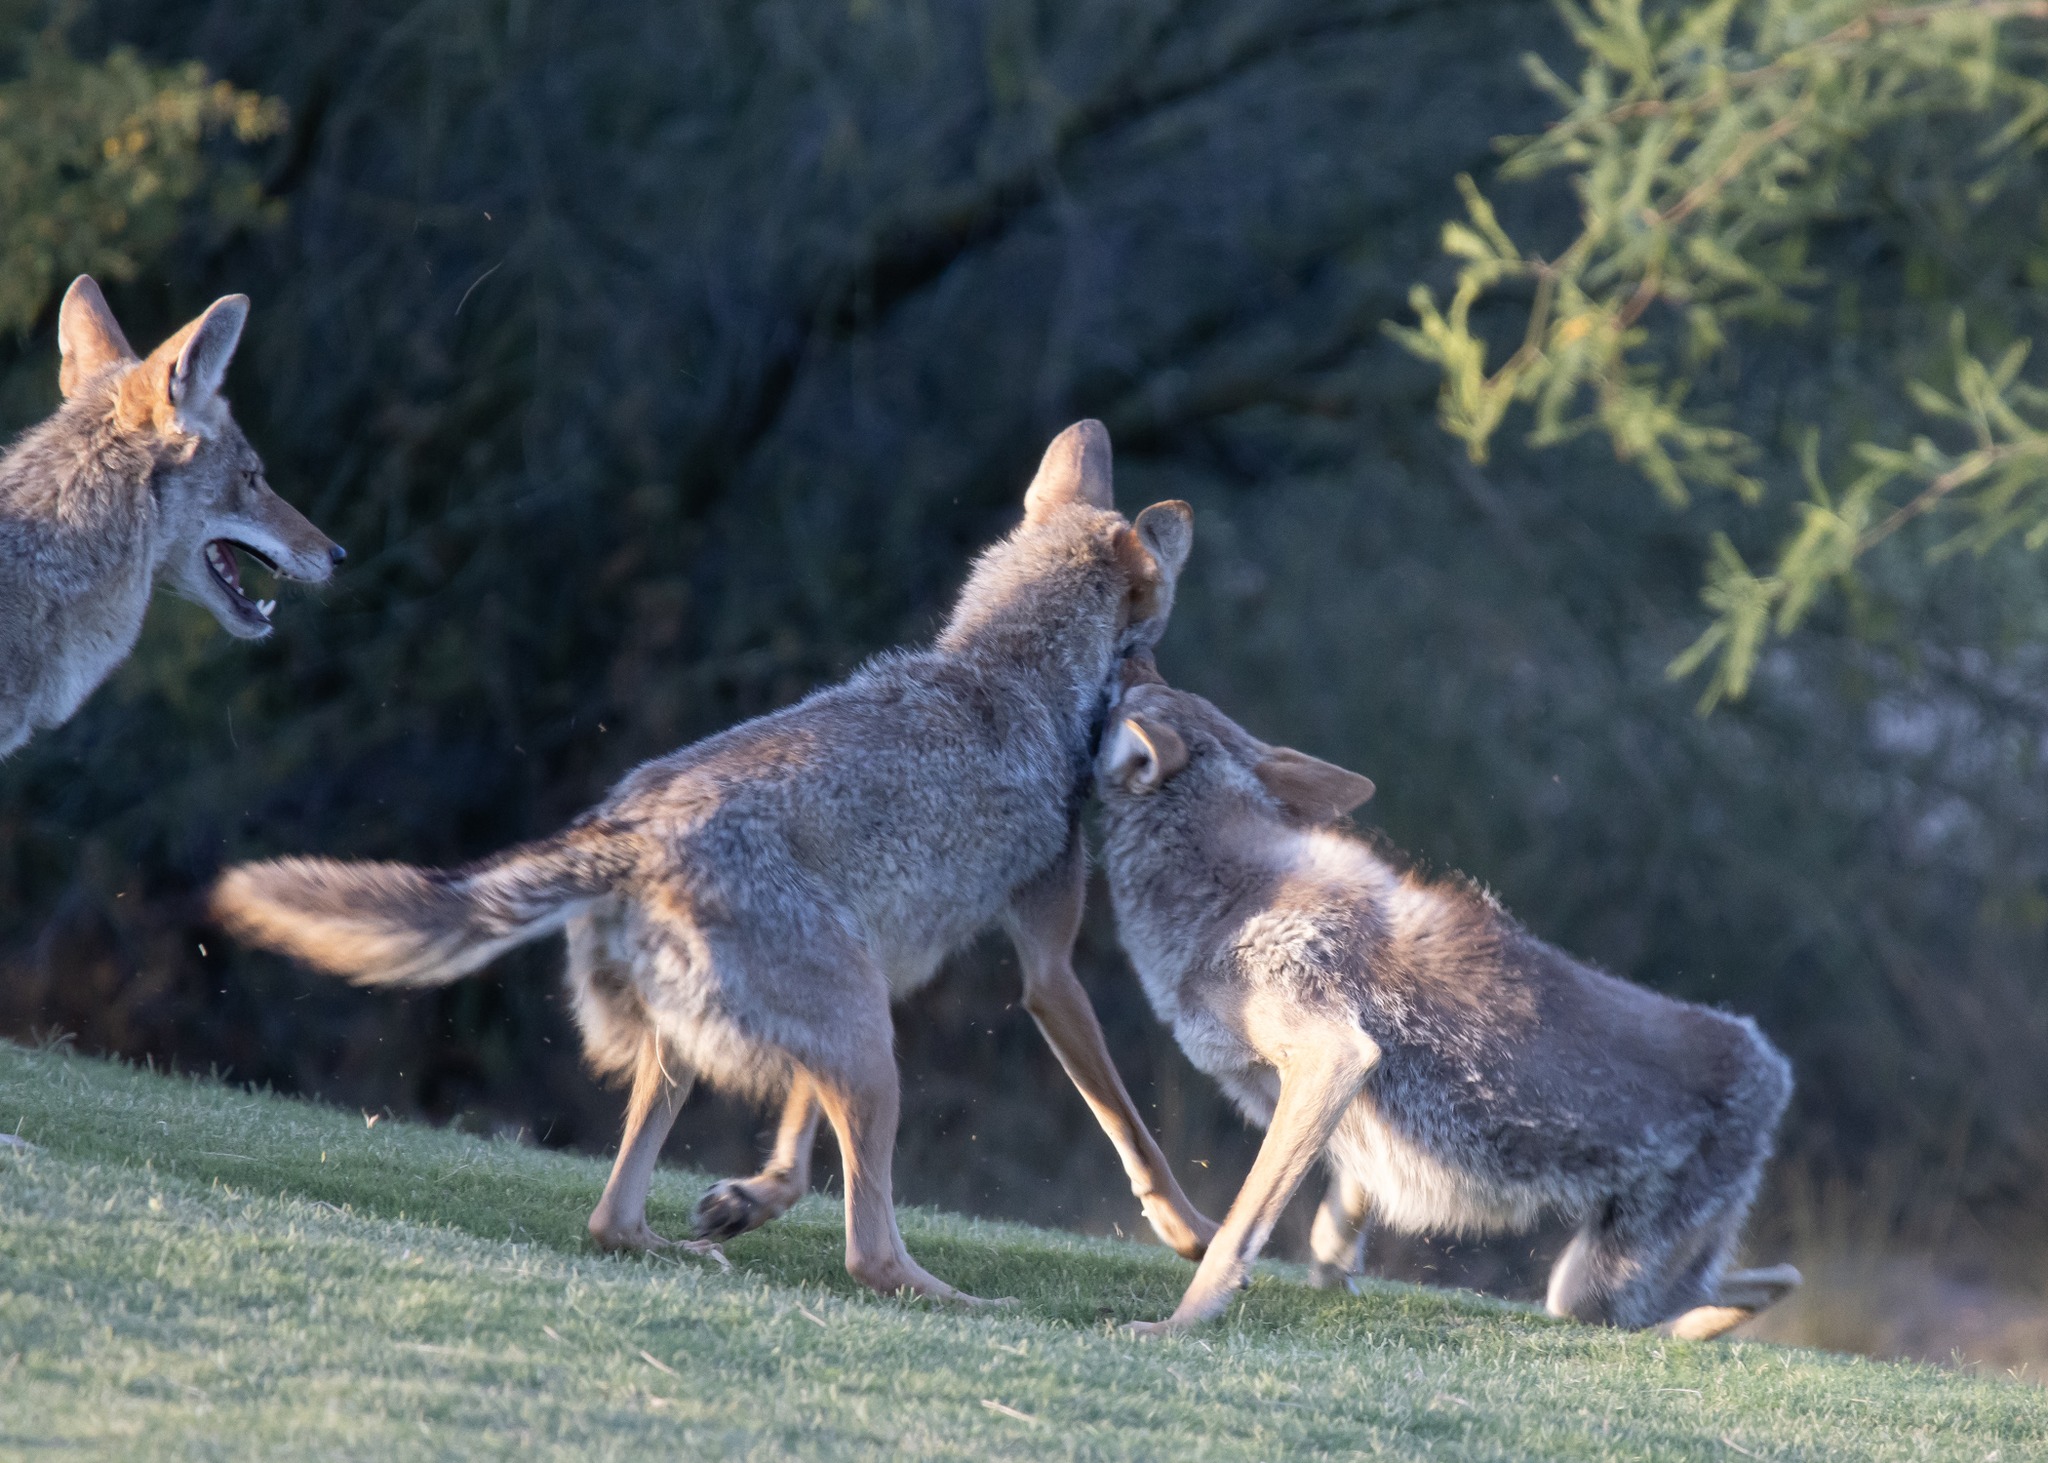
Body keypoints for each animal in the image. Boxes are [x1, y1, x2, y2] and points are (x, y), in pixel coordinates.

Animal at [211, 421, 1218, 1301]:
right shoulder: (1045, 974)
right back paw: (963, 1300)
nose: (1161, 683)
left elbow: (795, 1139)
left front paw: (750, 1198)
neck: (1012, 668)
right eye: (1157, 625)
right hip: (870, 1052)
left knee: (614, 1220)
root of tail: (630, 826)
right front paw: (1194, 1232)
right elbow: (1132, 1127)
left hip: (734, 1045)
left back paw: (691, 1249)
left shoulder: (866, 977)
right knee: (871, 1256)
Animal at [1093, 655, 1801, 1339]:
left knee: (1761, 1283)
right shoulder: (1347, 1121)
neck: (1225, 895)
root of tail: (1772, 1063)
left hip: (1605, 1288)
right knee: (1761, 1282)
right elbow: (1331, 1236)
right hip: (1592, 1287)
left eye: (1126, 699)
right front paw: (1334, 1287)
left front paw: (1176, 1325)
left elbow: (1237, 1233)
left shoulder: (1334, 1058)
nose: (1130, 660)